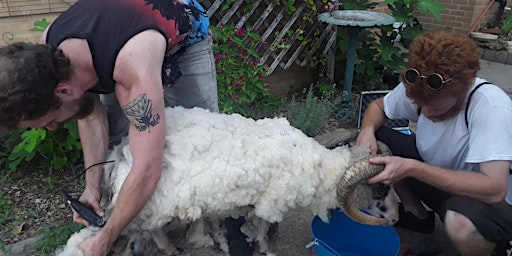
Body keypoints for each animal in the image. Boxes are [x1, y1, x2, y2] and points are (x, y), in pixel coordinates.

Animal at [56, 106, 400, 256]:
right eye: (381, 188)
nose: (397, 217)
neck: (317, 167)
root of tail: (120, 153)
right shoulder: (270, 204)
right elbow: (268, 231)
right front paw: (265, 249)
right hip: (144, 208)